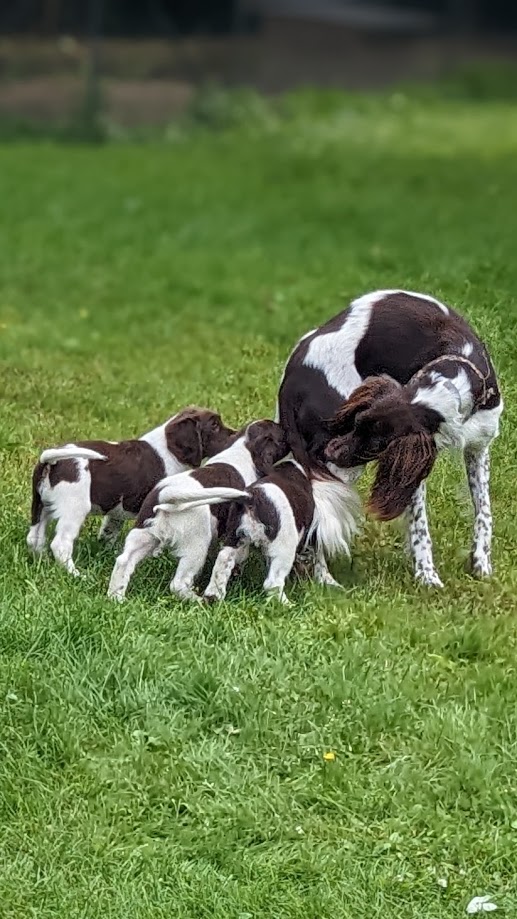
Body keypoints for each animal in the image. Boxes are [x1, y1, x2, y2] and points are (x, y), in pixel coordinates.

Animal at [27, 408, 235, 576]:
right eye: (214, 425)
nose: (235, 436)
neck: (169, 450)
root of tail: (50, 460)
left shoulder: (115, 514)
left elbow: (109, 533)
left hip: (41, 506)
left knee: (35, 538)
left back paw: (41, 563)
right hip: (74, 507)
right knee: (61, 544)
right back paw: (76, 574)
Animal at [106, 418, 288, 604]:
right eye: (281, 437)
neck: (243, 448)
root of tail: (167, 495)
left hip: (143, 534)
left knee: (124, 561)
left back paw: (116, 597)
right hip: (196, 545)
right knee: (178, 583)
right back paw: (198, 600)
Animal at [276, 292, 502, 584]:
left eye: (376, 444)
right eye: (356, 424)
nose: (330, 451)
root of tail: (291, 377)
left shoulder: (478, 446)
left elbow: (484, 511)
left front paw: (482, 563)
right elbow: (420, 525)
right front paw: (427, 576)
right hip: (339, 468)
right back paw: (323, 578)